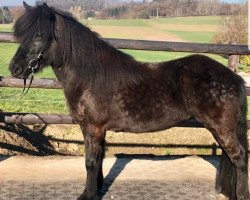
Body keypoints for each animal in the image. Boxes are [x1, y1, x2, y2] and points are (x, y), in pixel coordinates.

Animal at [8, 1, 249, 200]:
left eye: (39, 35)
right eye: (22, 35)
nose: (14, 68)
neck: (90, 76)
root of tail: (233, 77)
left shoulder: (92, 128)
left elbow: (90, 163)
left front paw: (86, 195)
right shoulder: (99, 131)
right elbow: (99, 162)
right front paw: (96, 191)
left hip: (221, 128)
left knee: (240, 157)